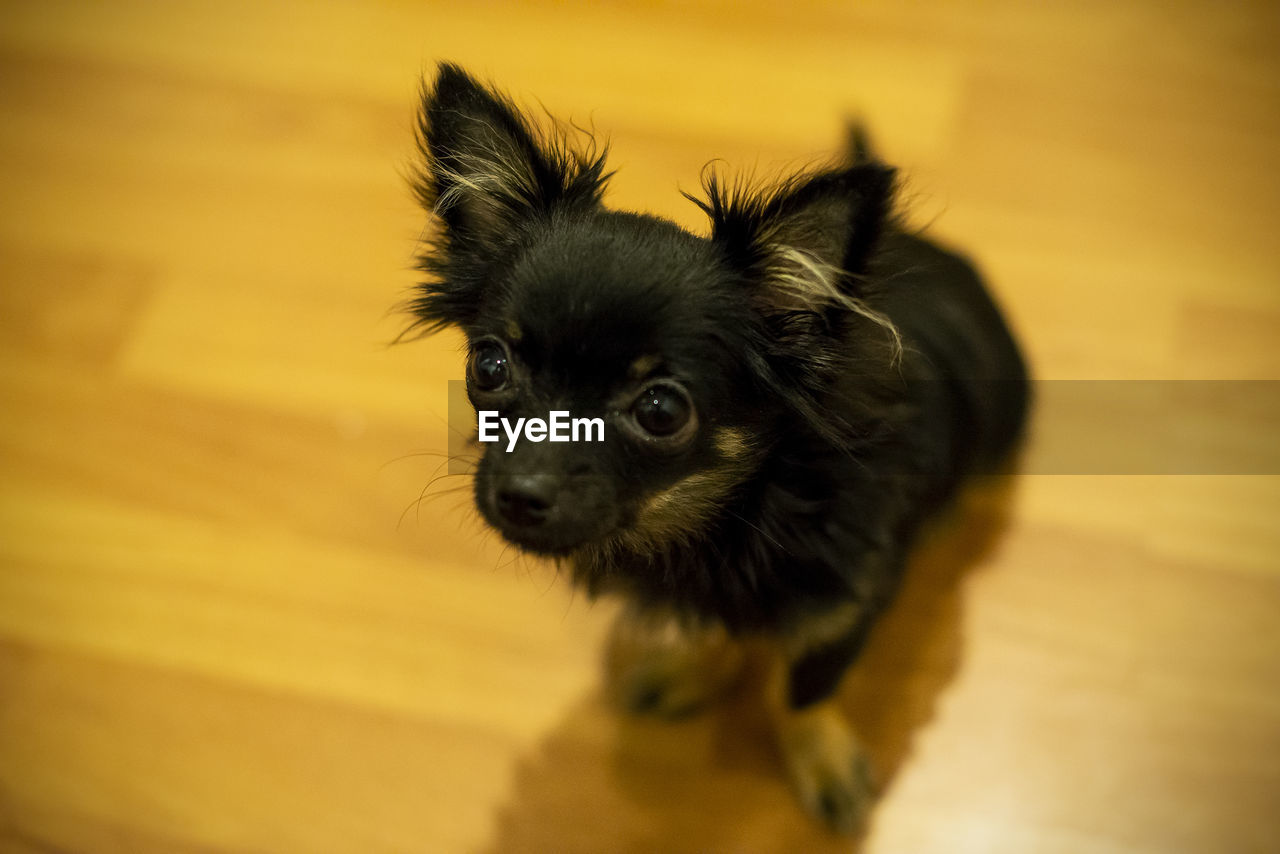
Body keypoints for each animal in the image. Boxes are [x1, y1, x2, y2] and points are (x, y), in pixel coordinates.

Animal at [409, 65, 1029, 834]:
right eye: (488, 366)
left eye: (661, 410)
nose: (520, 494)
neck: (731, 509)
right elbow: (720, 630)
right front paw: (697, 671)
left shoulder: (847, 606)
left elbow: (804, 690)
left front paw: (819, 756)